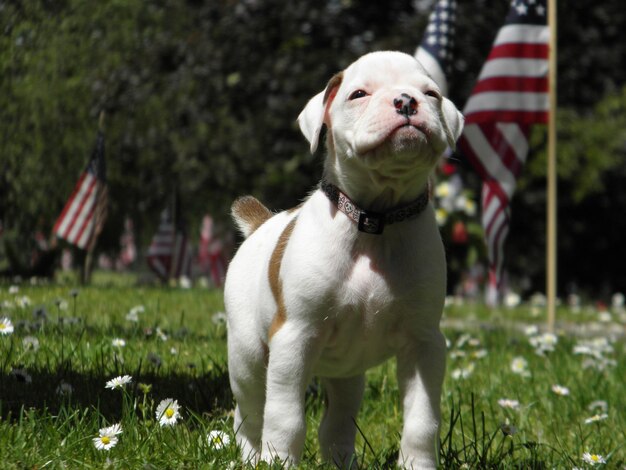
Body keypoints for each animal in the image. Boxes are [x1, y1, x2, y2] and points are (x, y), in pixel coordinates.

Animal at [224, 49, 464, 468]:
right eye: (359, 94)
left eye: (431, 93)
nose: (406, 101)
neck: (376, 220)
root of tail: (260, 225)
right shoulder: (295, 336)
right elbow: (284, 417)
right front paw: (279, 461)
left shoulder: (424, 344)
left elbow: (422, 420)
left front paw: (418, 463)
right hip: (247, 355)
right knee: (250, 411)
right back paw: (252, 456)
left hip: (346, 371)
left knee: (338, 417)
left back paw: (342, 459)